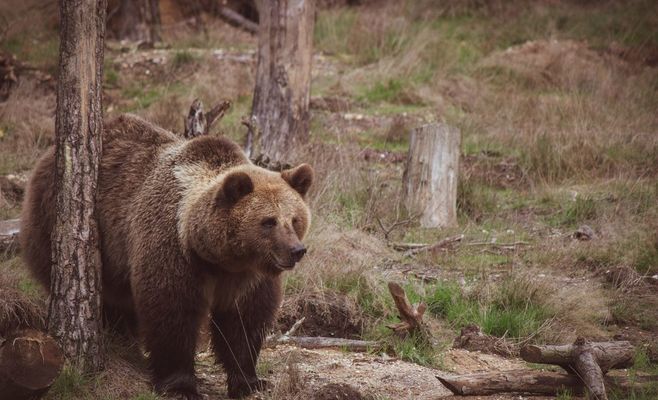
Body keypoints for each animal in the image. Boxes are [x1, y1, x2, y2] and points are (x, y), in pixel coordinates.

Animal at [20, 114, 313, 399]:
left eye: (294, 219)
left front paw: (250, 381)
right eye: (269, 221)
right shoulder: (173, 250)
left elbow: (244, 321)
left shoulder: (247, 276)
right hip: (62, 224)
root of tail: (47, 156)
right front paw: (180, 386)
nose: (296, 250)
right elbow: (171, 311)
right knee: (109, 298)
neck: (217, 257)